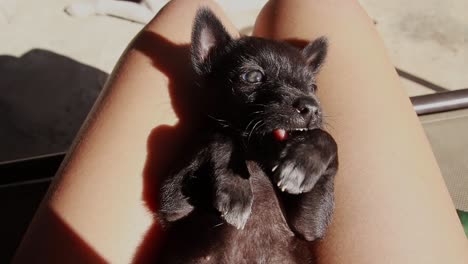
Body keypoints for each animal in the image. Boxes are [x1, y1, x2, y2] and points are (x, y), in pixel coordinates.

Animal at [159, 7, 338, 262]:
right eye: (253, 77)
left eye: (313, 88)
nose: (312, 107)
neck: (256, 152)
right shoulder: (174, 208)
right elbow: (220, 135)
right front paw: (235, 188)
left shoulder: (309, 228)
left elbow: (328, 139)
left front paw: (304, 162)